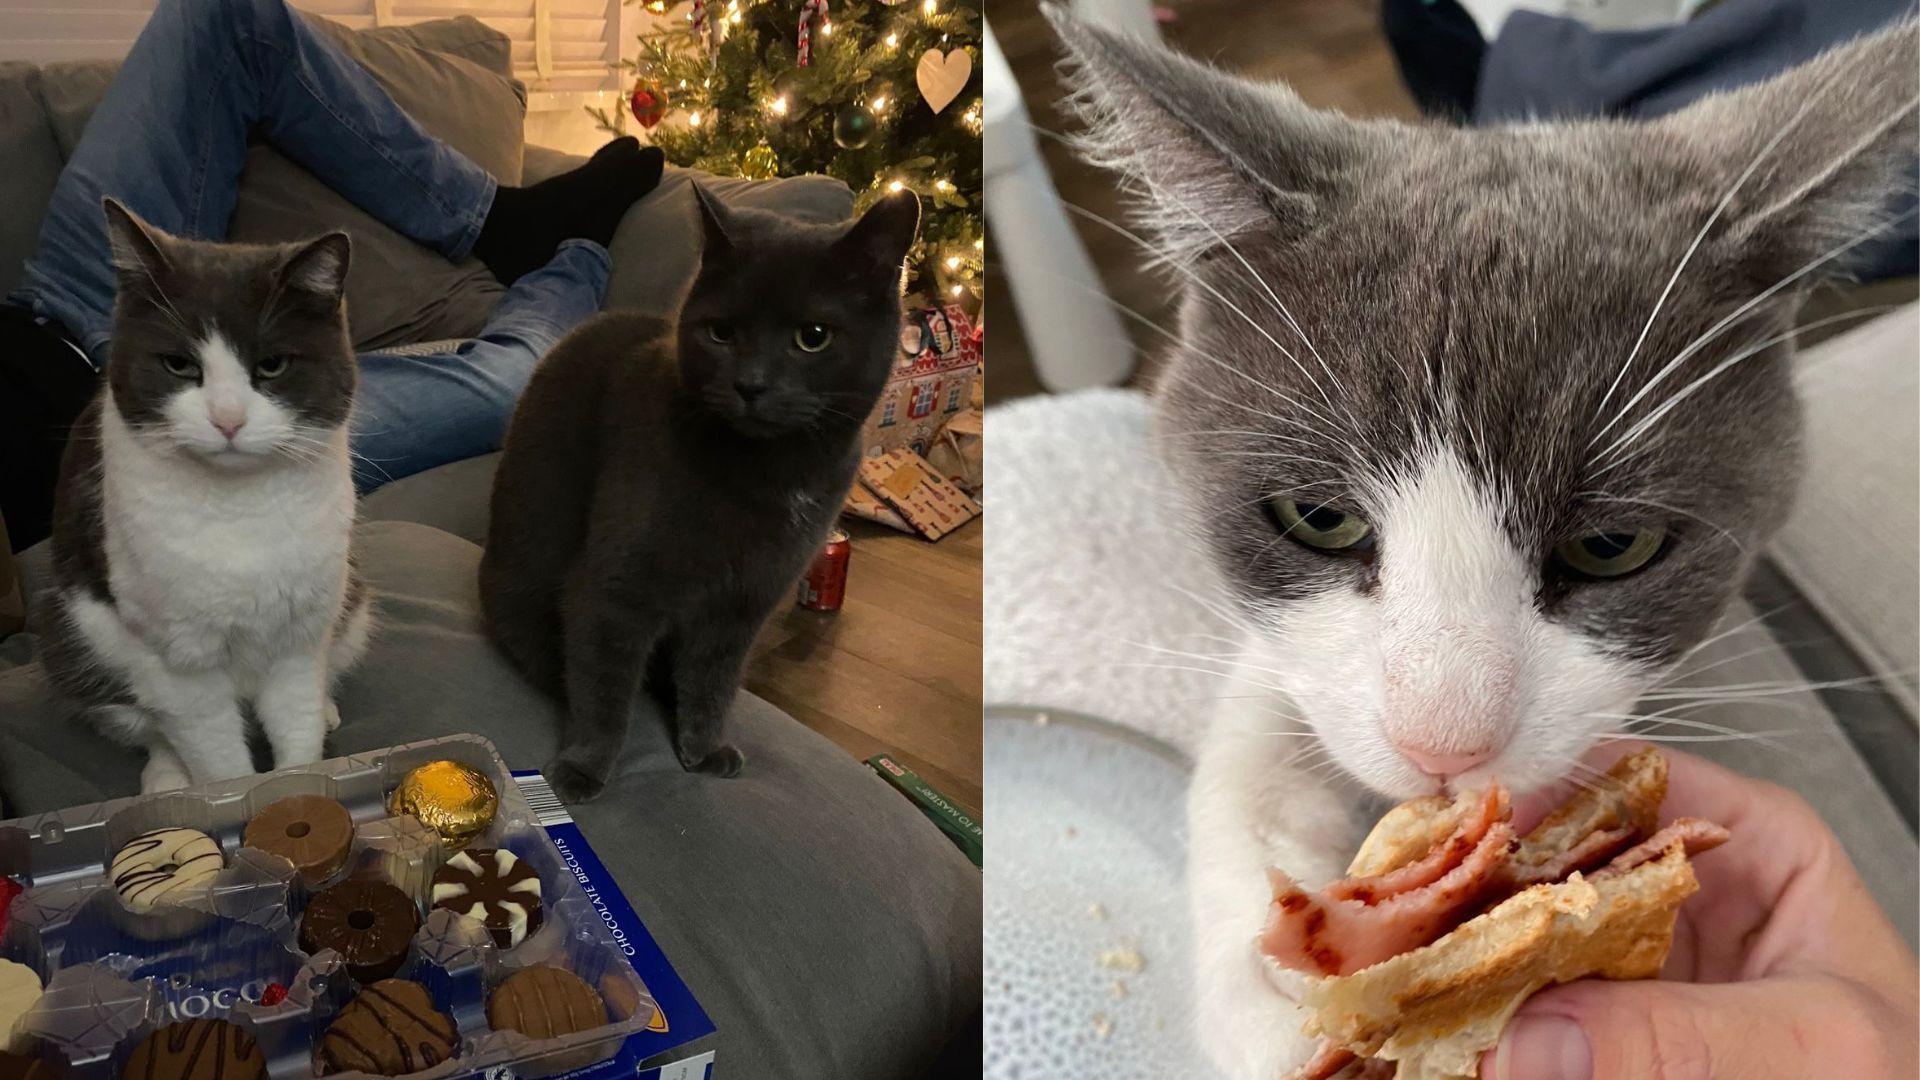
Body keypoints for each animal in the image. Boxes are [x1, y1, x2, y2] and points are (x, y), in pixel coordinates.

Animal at [39, 199, 370, 791]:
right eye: (179, 365)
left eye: (272, 365)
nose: (227, 418)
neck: (240, 507)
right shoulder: (177, 664)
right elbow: (218, 761)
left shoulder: (300, 638)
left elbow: (298, 728)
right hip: (69, 639)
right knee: (150, 728)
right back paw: (166, 776)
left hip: (353, 603)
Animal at [487, 187, 921, 799]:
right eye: (721, 332)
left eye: (813, 337)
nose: (751, 384)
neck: (771, 473)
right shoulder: (611, 589)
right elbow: (603, 687)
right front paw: (583, 769)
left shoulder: (743, 604)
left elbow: (713, 682)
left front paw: (704, 749)